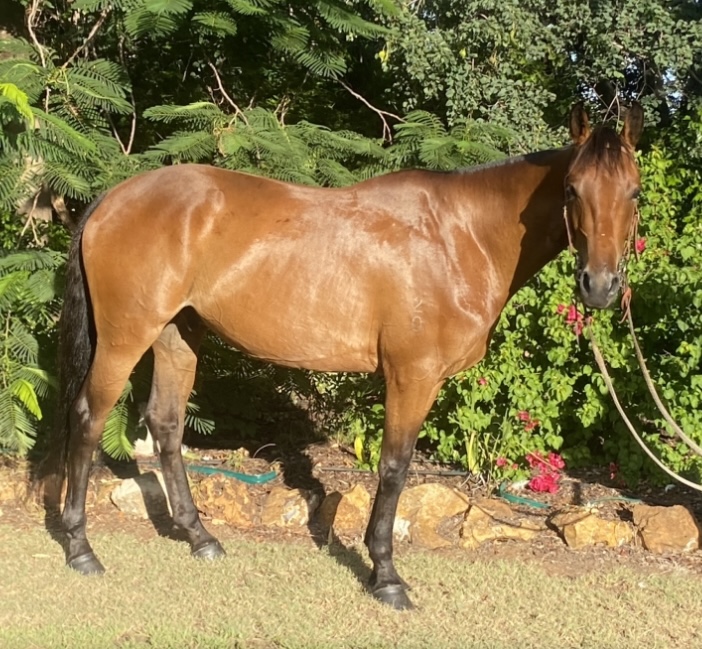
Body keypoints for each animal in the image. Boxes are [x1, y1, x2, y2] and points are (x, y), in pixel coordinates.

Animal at [43, 102, 643, 610]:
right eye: (572, 189)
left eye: (634, 193)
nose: (599, 286)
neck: (460, 236)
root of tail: (112, 199)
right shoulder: (412, 376)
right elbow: (395, 468)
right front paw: (387, 577)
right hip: (125, 338)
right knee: (89, 419)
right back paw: (81, 548)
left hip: (176, 336)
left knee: (166, 424)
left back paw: (200, 537)